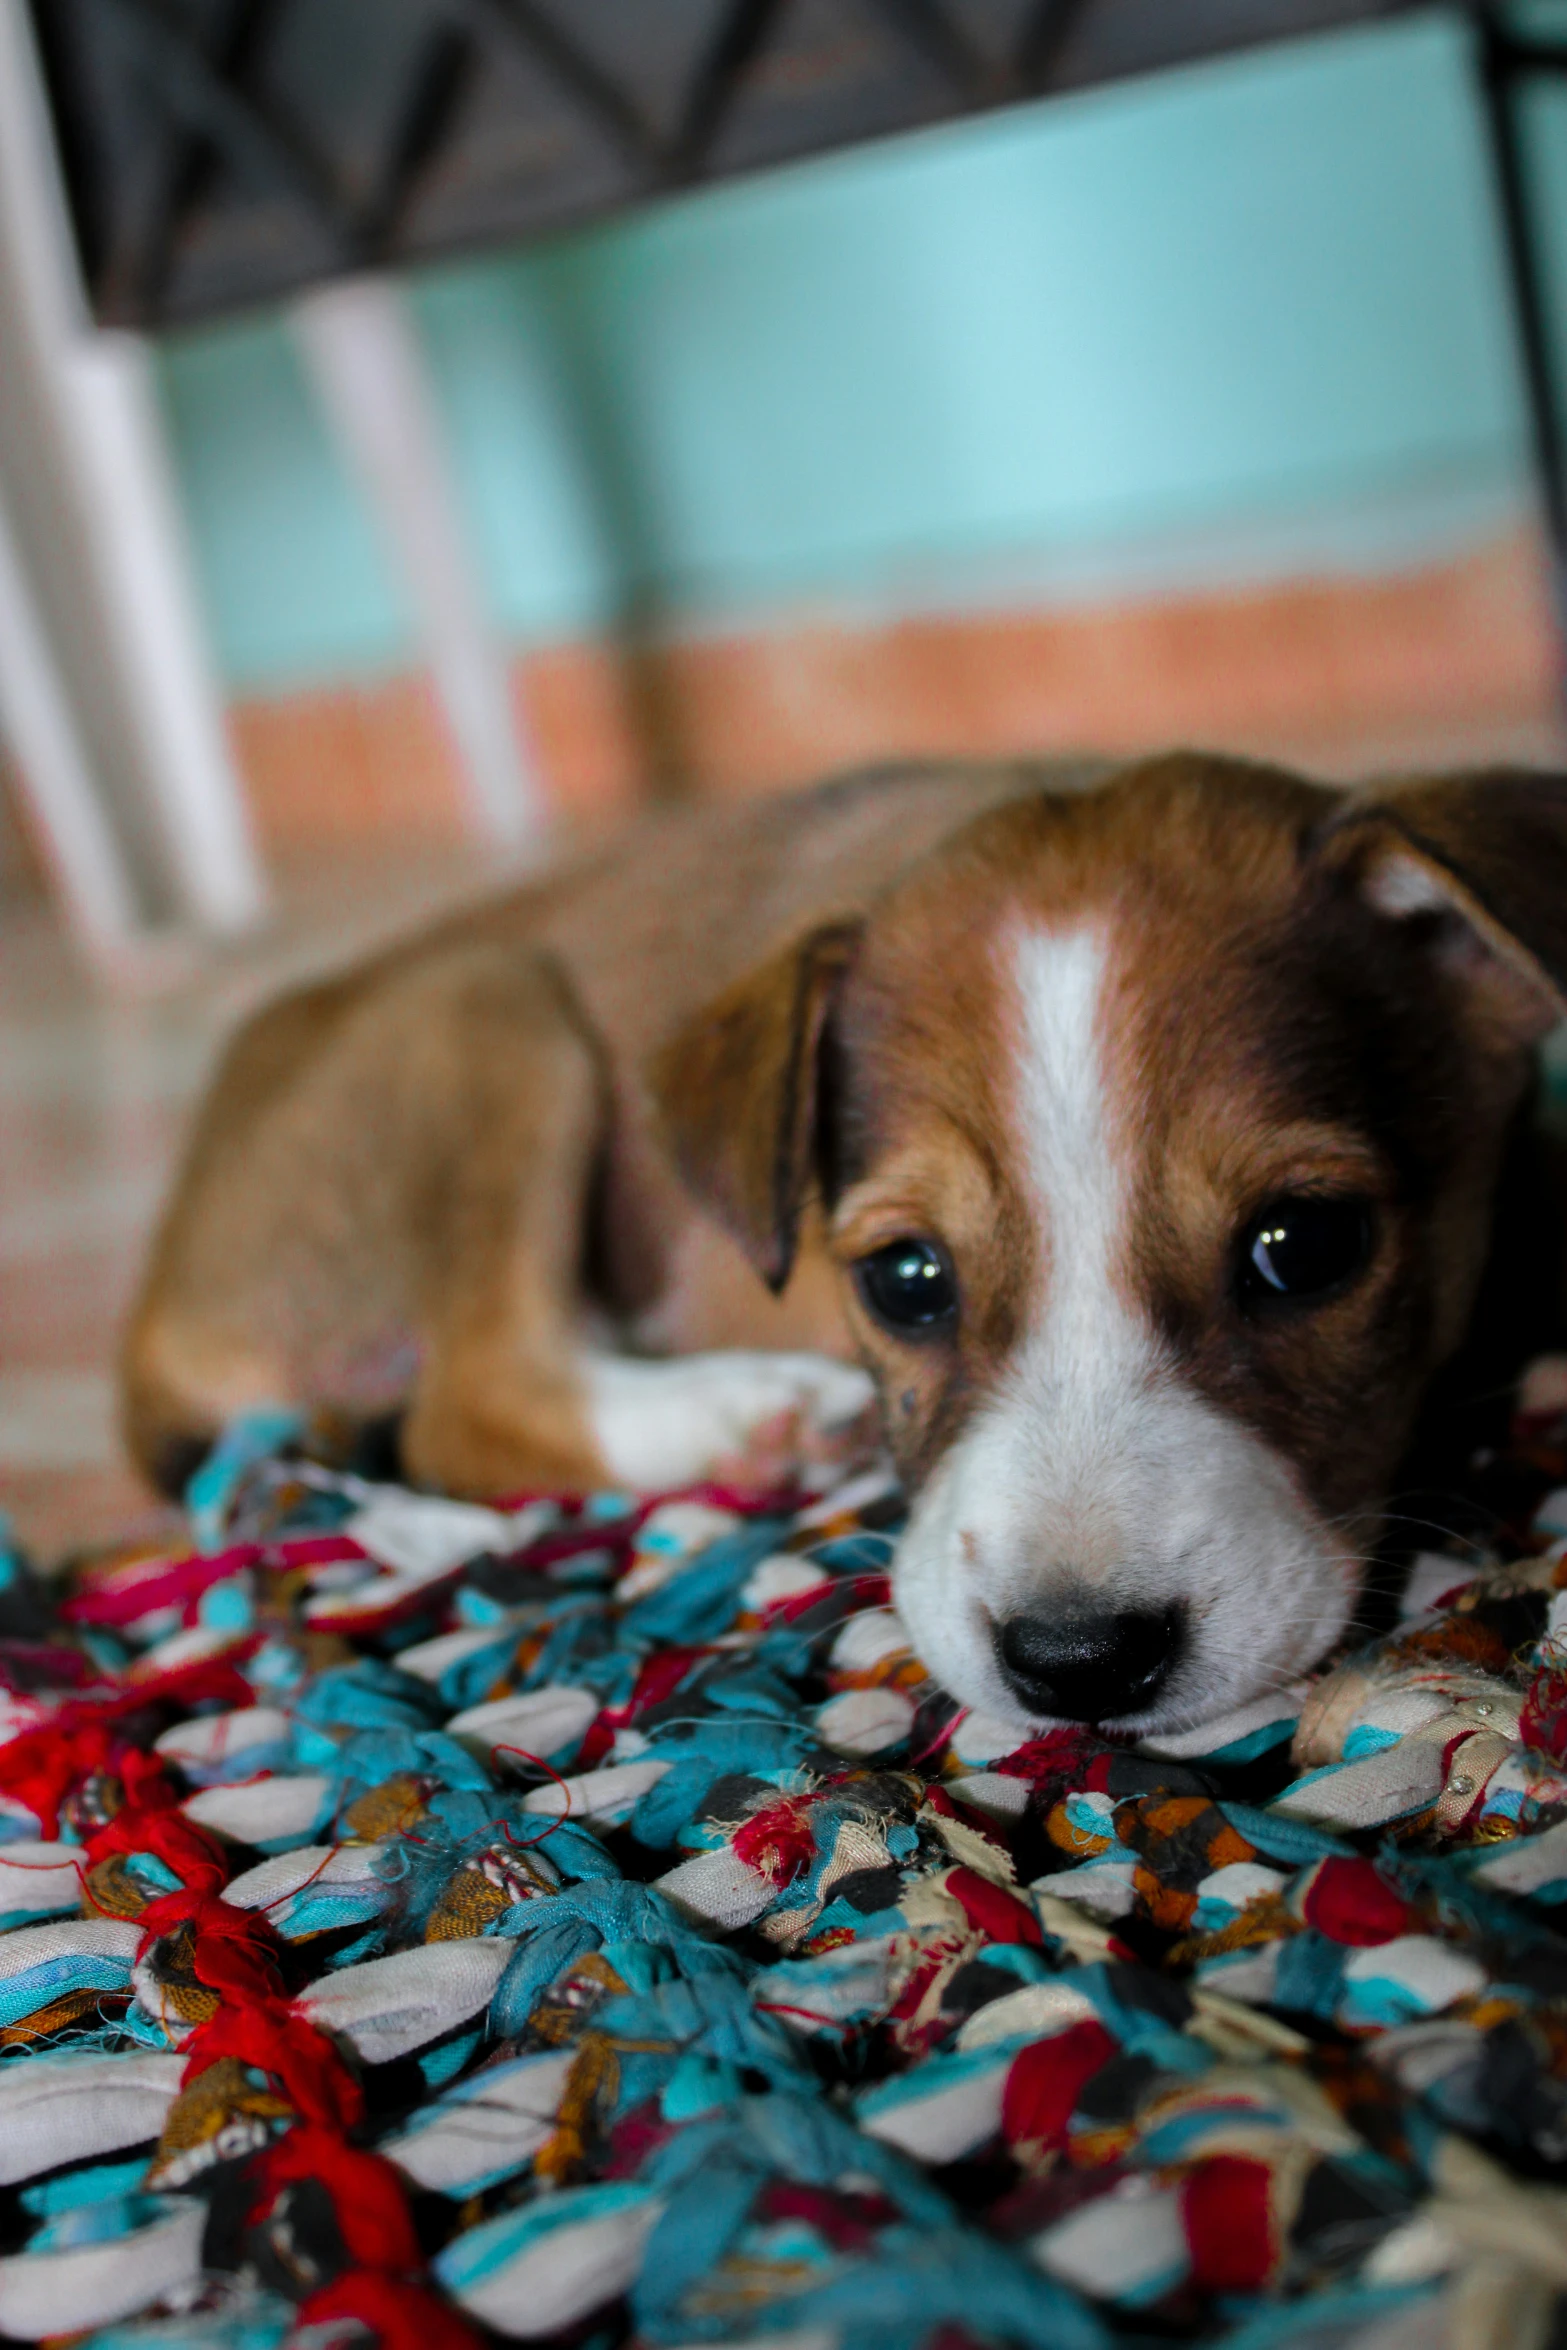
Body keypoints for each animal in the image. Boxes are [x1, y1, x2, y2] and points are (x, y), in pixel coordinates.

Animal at [122, 761, 1567, 1738]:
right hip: (489, 1004)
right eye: (904, 1279)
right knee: (469, 1394)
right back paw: (749, 1418)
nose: (1079, 1663)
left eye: (1303, 1245)